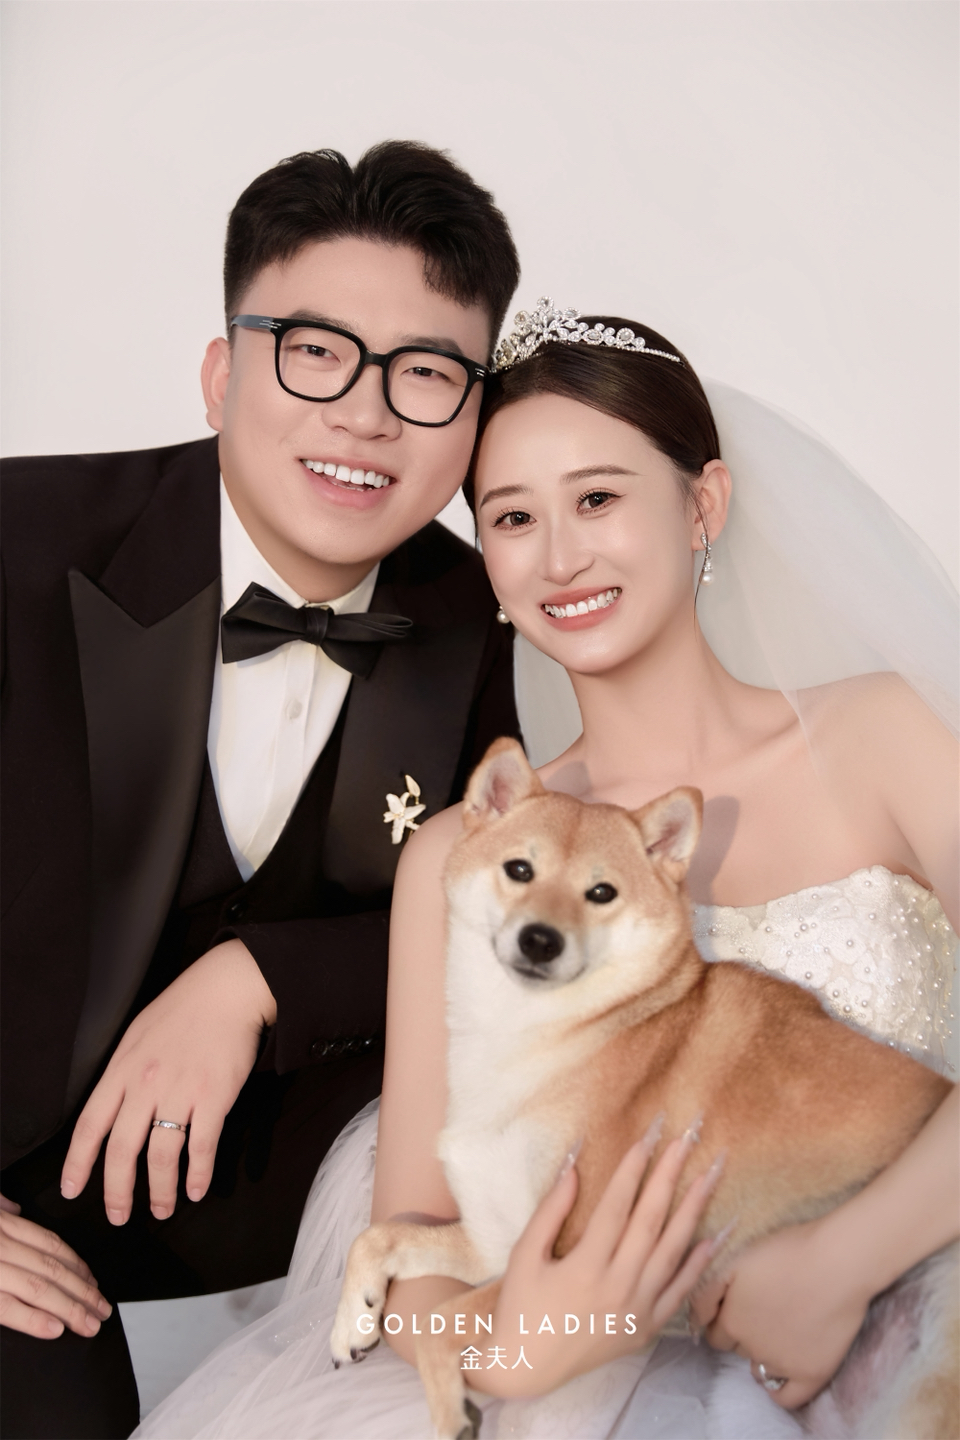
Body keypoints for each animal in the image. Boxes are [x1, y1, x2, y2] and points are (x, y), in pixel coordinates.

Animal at [332, 737, 957, 1439]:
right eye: (519, 870)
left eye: (601, 892)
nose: (540, 940)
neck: (537, 1042)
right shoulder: (497, 1242)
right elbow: (380, 1237)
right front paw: (354, 1319)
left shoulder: (568, 1259)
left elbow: (441, 1326)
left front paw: (449, 1413)